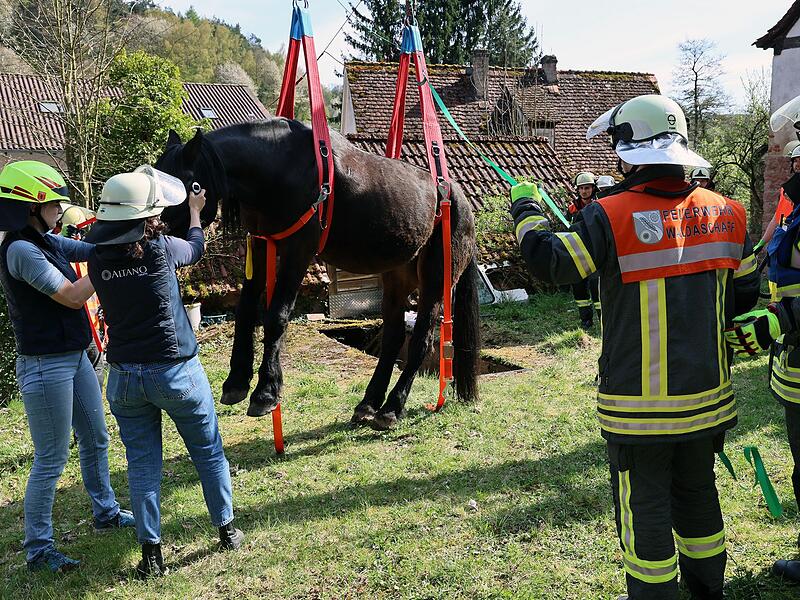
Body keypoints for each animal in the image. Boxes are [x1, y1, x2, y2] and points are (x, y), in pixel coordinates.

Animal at [156, 116, 480, 430]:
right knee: (392, 338)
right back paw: (369, 404)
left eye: (184, 185)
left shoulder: (298, 249)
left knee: (422, 340)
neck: (279, 168)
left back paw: (392, 408)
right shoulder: (260, 245)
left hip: (436, 281)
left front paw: (266, 392)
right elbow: (246, 311)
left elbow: (276, 316)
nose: (155, 230)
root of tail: (457, 198)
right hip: (396, 278)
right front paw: (236, 380)